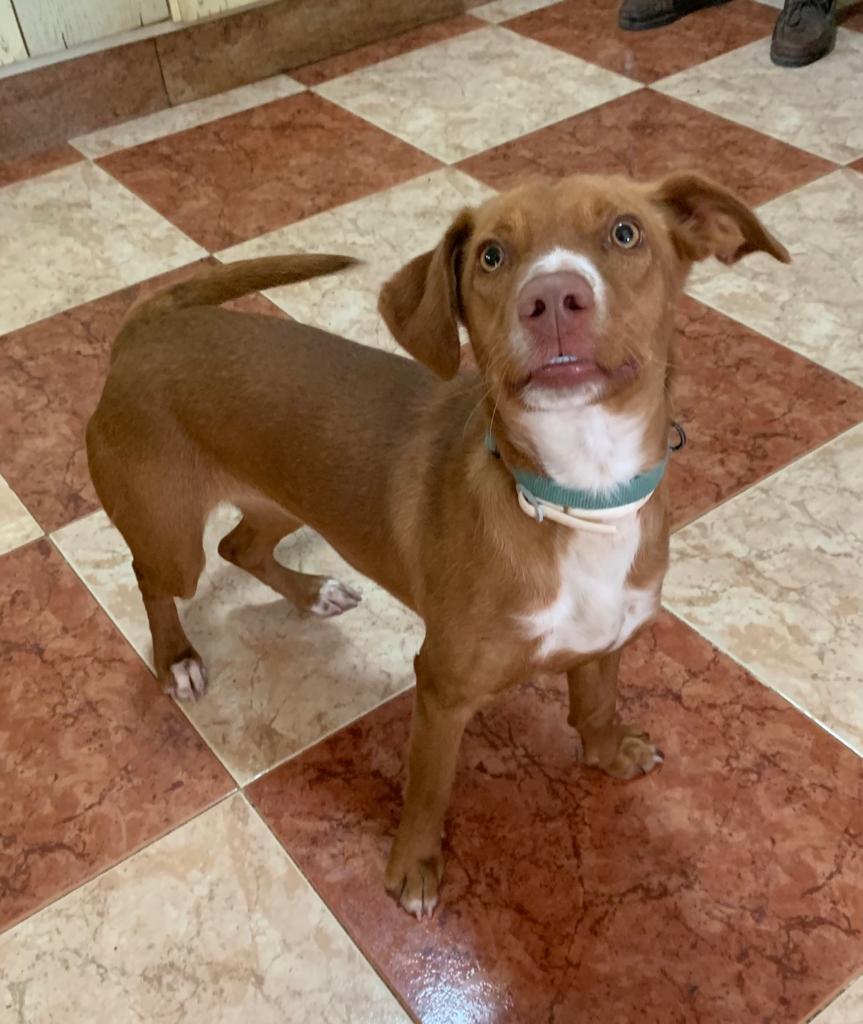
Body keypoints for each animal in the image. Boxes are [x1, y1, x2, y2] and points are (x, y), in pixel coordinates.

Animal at [86, 171, 788, 918]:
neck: (573, 498)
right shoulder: (443, 689)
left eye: (626, 232)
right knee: (154, 575)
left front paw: (606, 754)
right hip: (169, 536)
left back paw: (312, 593)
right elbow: (428, 788)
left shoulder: (606, 636)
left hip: (284, 500)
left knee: (239, 547)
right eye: (490, 255)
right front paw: (414, 869)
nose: (551, 299)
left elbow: (596, 705)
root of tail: (146, 332)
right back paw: (178, 658)